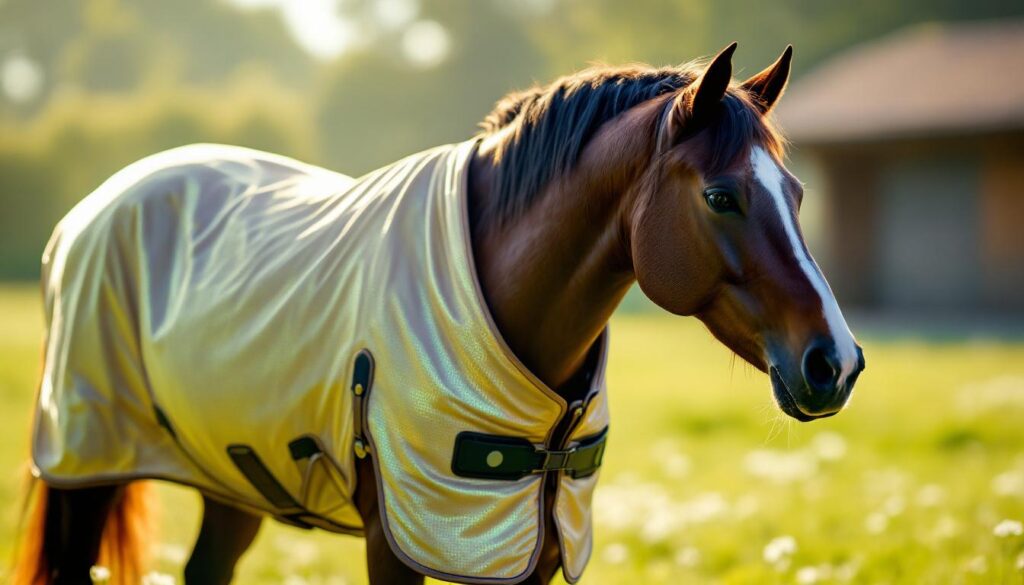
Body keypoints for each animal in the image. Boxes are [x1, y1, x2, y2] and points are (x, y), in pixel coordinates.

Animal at [13, 42, 865, 585]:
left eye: (796, 192)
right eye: (721, 196)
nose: (837, 362)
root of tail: (91, 208)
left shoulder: (533, 549)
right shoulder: (397, 542)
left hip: (232, 481)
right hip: (86, 467)